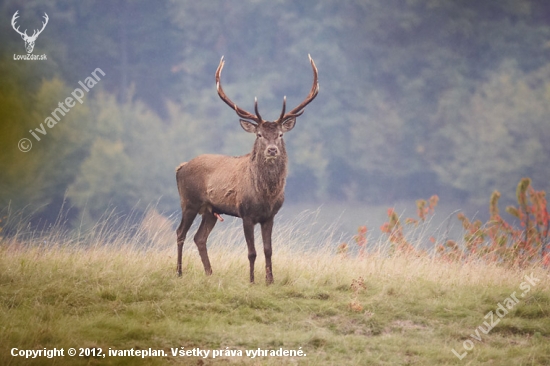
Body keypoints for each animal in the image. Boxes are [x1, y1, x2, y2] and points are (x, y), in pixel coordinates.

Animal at [177, 55, 320, 284]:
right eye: (259, 134)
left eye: (280, 134)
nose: (272, 150)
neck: (265, 195)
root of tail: (180, 167)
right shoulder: (246, 214)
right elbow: (251, 252)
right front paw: (252, 280)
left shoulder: (269, 216)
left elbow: (269, 250)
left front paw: (270, 281)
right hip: (188, 202)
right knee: (180, 233)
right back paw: (179, 272)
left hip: (210, 210)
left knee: (199, 238)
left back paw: (210, 273)